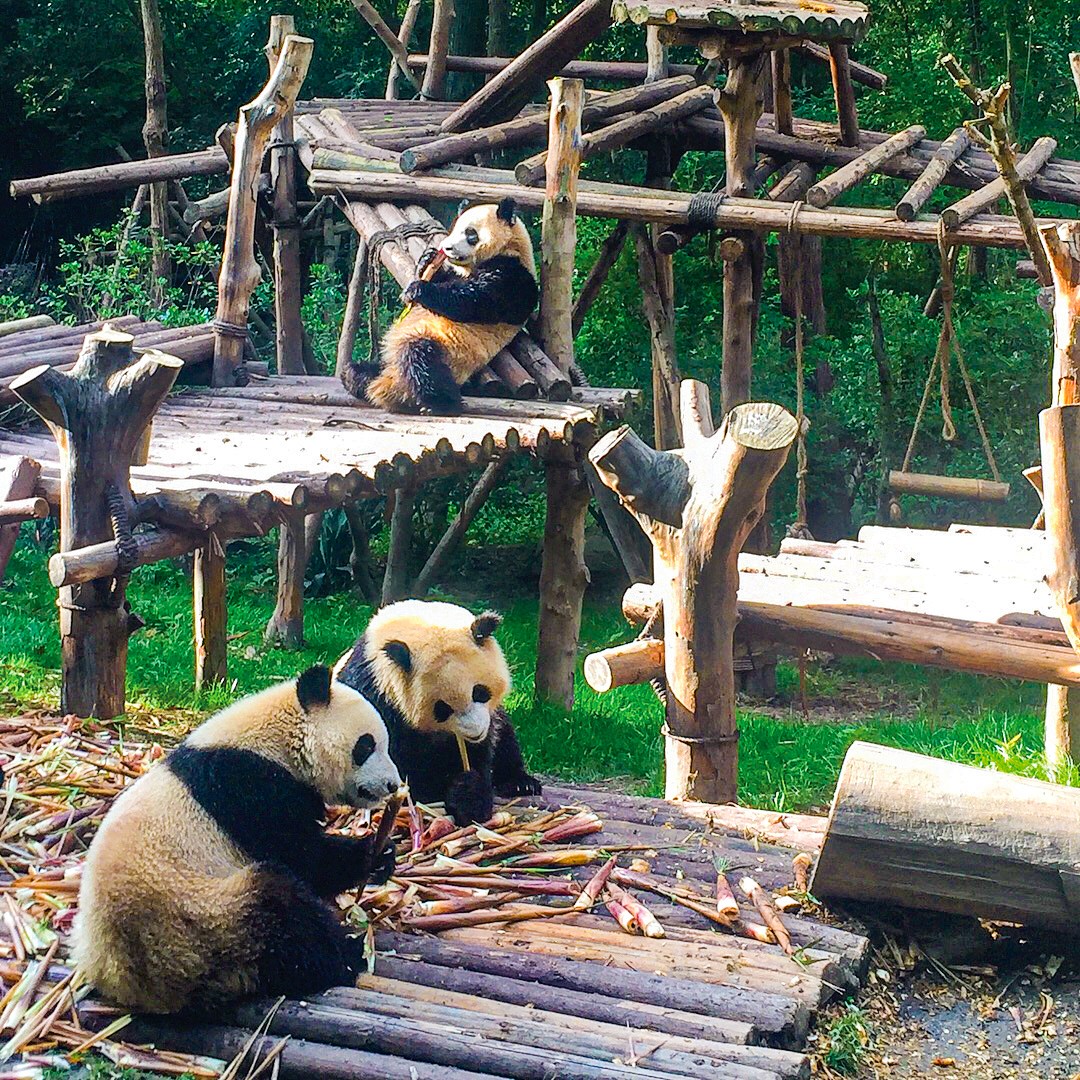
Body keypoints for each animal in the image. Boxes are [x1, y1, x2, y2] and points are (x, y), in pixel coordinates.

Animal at [73, 665, 403, 1015]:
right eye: (365, 746)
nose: (392, 784)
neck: (276, 741)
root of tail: (129, 983)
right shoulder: (250, 789)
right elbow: (304, 859)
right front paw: (368, 853)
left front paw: (383, 855)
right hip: (201, 919)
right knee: (281, 912)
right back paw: (347, 955)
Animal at [334, 600, 541, 826]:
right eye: (442, 708)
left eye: (479, 692)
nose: (475, 731)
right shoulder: (378, 698)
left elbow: (479, 755)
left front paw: (469, 794)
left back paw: (521, 783)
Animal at [341, 197, 538, 415]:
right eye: (454, 229)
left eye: (470, 234)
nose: (447, 247)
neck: (510, 249)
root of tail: (387, 382)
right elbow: (443, 276)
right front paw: (426, 260)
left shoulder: (514, 280)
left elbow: (475, 299)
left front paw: (417, 290)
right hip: (390, 362)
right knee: (368, 368)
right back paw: (355, 377)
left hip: (449, 351)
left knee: (421, 359)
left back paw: (441, 403)